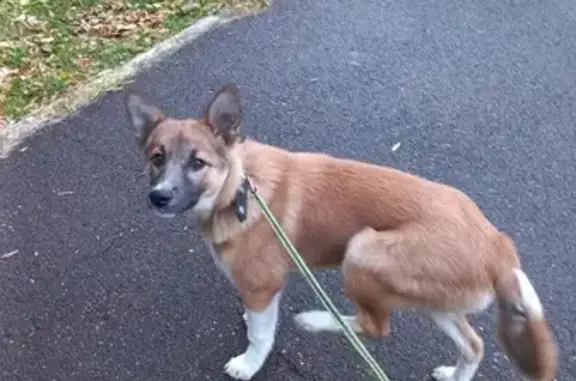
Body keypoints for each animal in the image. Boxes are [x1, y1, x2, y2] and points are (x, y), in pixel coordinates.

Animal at [122, 84, 560, 380]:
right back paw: (455, 374)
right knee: (474, 345)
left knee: (376, 326)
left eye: (197, 163)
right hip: (437, 299)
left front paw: (248, 364)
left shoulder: (264, 285)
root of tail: (497, 245)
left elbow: (261, 335)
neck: (238, 189)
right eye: (156, 158)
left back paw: (316, 321)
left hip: (364, 250)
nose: (158, 197)